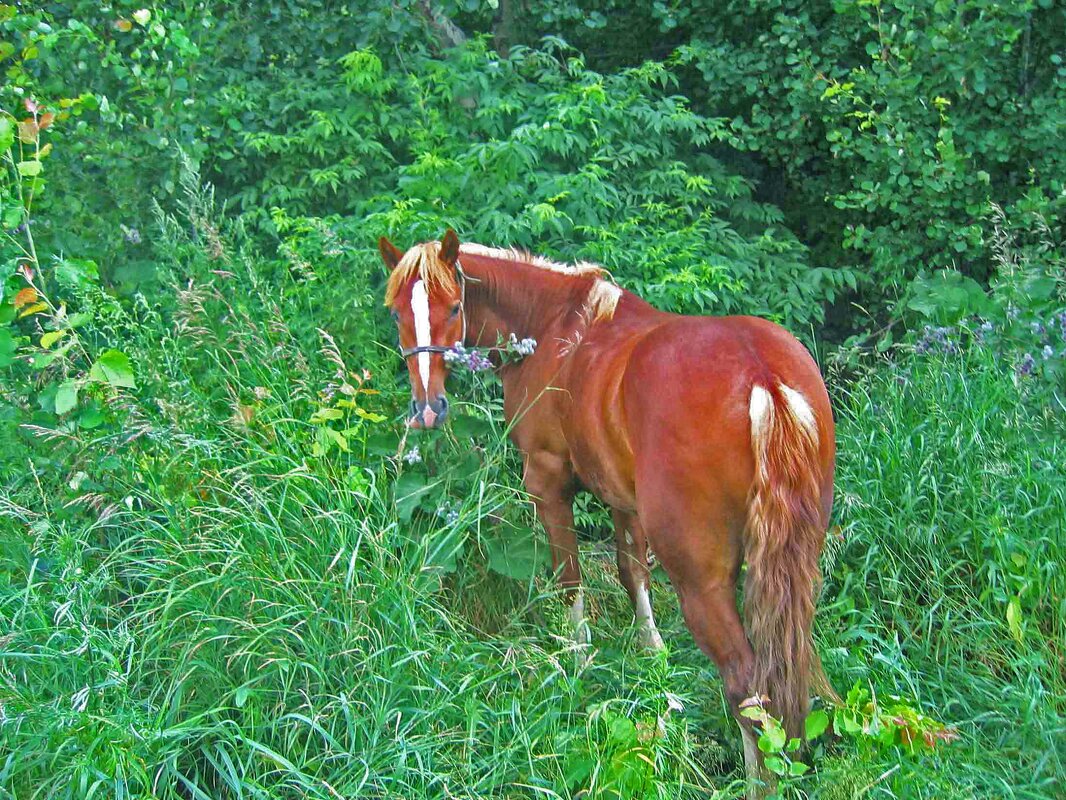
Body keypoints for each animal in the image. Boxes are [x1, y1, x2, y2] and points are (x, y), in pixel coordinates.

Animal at [379, 228, 835, 785]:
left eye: (455, 306)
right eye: (397, 313)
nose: (427, 409)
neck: (551, 324)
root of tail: (760, 376)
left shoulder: (547, 480)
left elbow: (570, 577)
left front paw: (578, 661)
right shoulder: (624, 499)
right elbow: (631, 570)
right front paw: (653, 657)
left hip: (701, 581)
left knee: (747, 685)